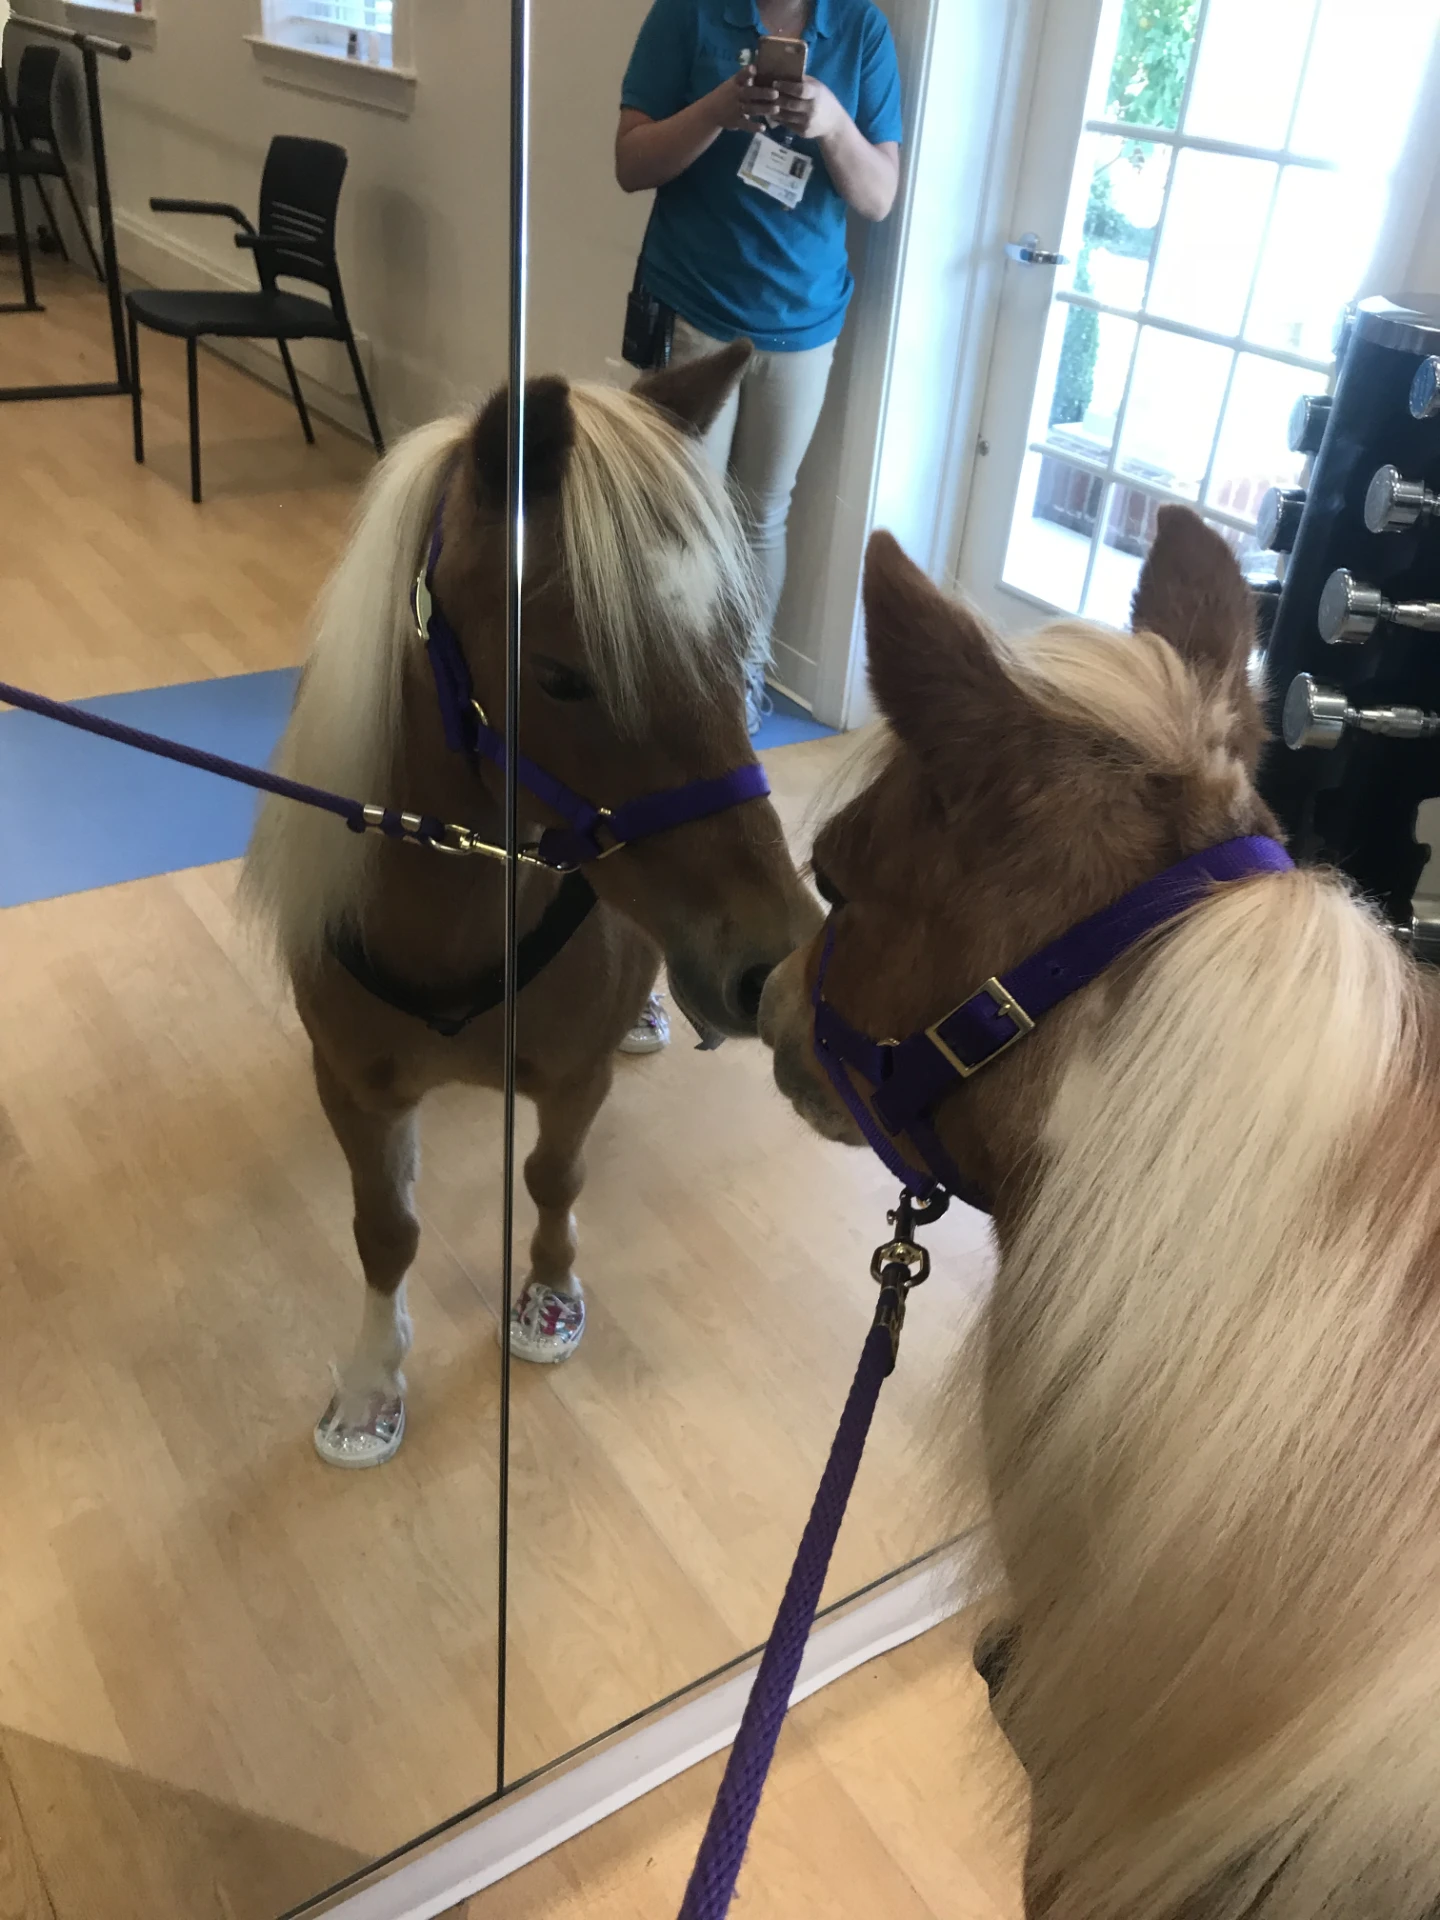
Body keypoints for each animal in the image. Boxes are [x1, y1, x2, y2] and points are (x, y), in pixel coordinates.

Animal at [241, 343, 820, 1468]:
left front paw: (548, 1298)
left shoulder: (572, 1078)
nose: (771, 963)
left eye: (742, 653)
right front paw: (372, 1382)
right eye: (559, 675)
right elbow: (384, 1227)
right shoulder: (353, 1085)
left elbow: (555, 1177)